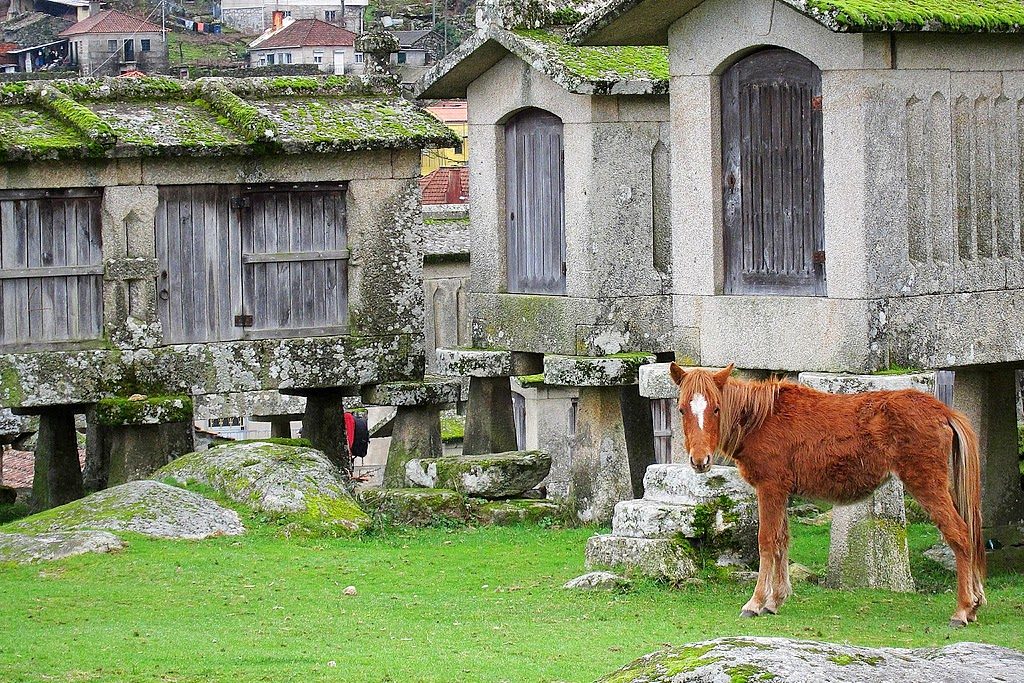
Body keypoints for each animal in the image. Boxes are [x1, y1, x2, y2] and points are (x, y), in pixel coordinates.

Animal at [667, 366, 987, 626]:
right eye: (682, 409)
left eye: (716, 408)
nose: (700, 460)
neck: (759, 419)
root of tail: (944, 412)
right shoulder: (782, 492)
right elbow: (782, 540)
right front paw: (775, 600)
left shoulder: (770, 488)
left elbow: (767, 542)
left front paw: (755, 603)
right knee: (969, 533)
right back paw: (975, 604)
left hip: (927, 484)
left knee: (960, 534)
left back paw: (962, 609)